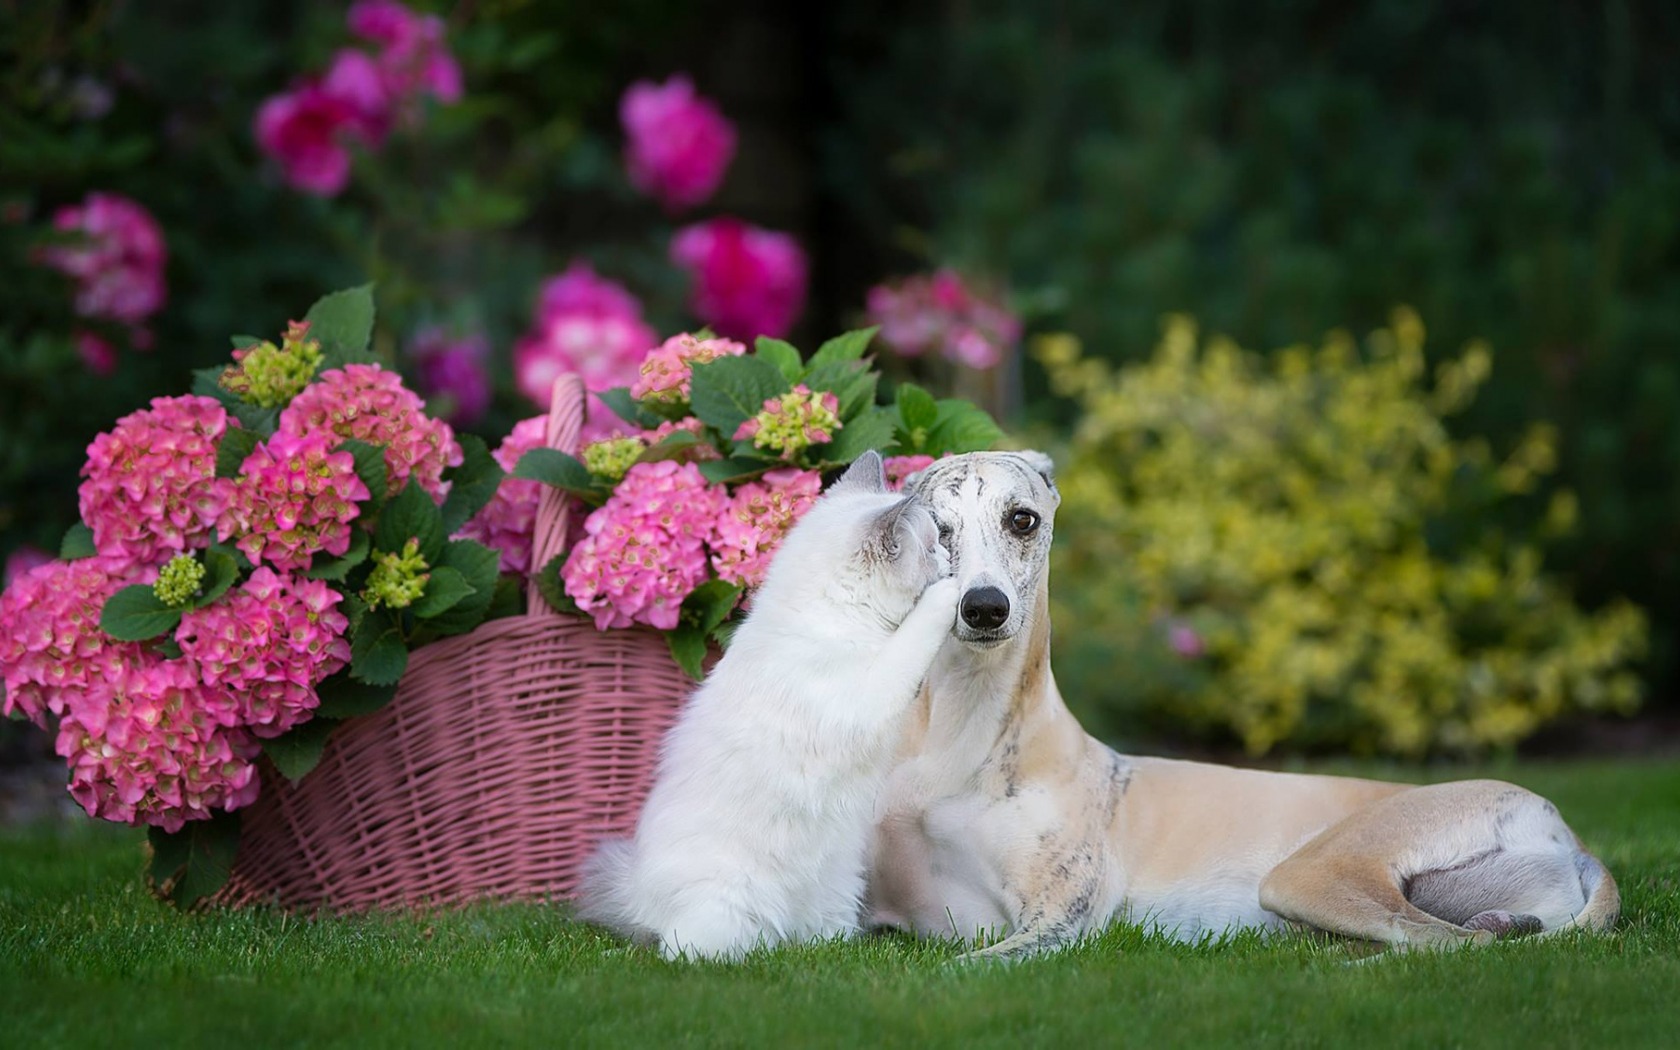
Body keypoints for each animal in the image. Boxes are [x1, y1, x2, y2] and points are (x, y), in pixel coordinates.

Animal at [574, 450, 960, 960]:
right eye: (934, 546)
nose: (951, 559)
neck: (832, 616)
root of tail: (636, 897)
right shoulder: (872, 693)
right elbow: (919, 630)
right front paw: (954, 589)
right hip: (724, 910)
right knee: (680, 952)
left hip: (837, 890)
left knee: (818, 940)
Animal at [866, 450, 1612, 960]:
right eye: (937, 529)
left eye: (1022, 519)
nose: (984, 608)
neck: (960, 744)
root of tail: (1566, 832)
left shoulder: (1058, 924)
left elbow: (960, 967)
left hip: (1310, 873)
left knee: (1445, 944)